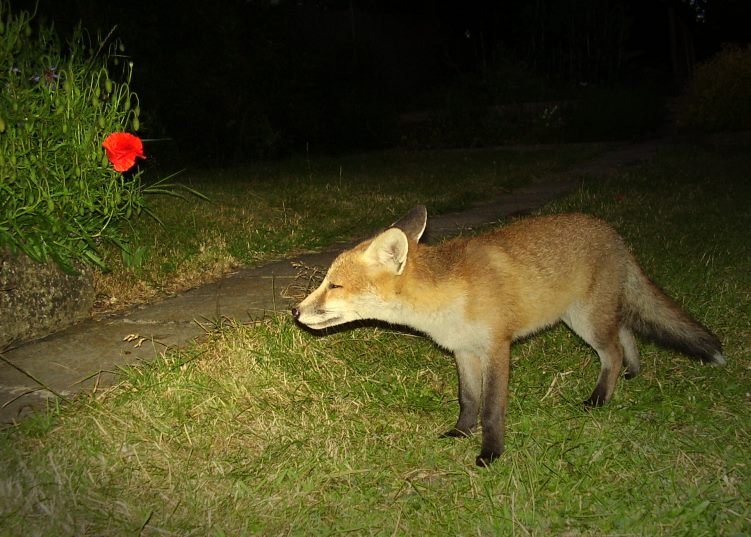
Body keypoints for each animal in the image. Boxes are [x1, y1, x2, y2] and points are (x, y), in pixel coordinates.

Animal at [290, 205, 724, 464]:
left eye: (334, 286)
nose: (294, 311)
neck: (446, 300)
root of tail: (612, 233)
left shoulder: (497, 347)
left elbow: (492, 409)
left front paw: (490, 454)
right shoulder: (463, 352)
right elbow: (468, 401)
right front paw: (460, 433)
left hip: (586, 321)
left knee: (613, 351)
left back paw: (600, 398)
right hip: (585, 317)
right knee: (625, 335)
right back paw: (631, 374)